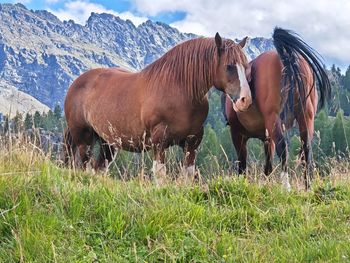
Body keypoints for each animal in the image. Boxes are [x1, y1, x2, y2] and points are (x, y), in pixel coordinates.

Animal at [64, 33, 252, 179]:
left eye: (246, 66)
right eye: (229, 66)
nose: (245, 100)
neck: (178, 90)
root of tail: (77, 83)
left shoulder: (192, 143)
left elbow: (188, 174)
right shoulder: (159, 143)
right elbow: (160, 173)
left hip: (108, 143)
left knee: (99, 168)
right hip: (84, 140)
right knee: (85, 166)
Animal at [223, 27, 330, 191]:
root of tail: (287, 56)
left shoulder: (237, 133)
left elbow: (242, 165)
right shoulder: (267, 138)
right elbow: (268, 166)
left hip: (273, 119)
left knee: (283, 148)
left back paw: (286, 187)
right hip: (306, 117)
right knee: (306, 150)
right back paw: (308, 188)